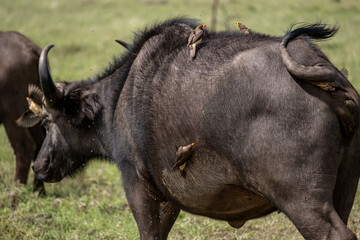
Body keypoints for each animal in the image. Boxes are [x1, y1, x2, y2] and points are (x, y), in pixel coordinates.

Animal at [32, 17, 358, 239]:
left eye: (47, 121)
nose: (39, 166)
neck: (118, 100)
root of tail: (326, 73)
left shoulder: (140, 187)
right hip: (342, 191)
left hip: (304, 203)